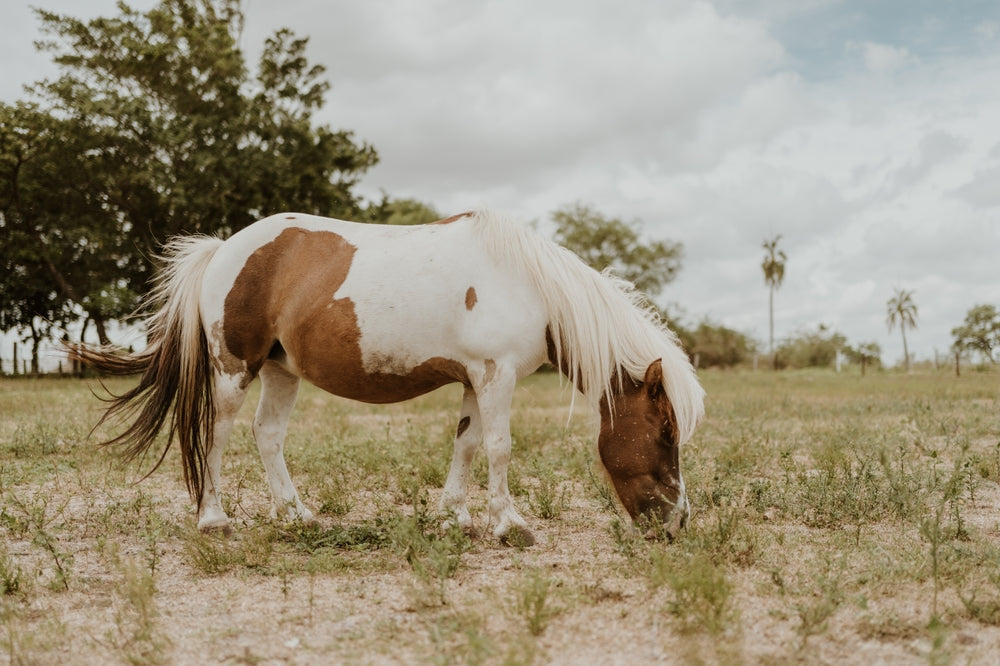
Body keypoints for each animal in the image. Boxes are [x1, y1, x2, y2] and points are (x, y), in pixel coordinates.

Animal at [70, 209, 705, 545]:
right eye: (667, 432)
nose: (676, 523)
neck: (528, 282)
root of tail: (224, 248)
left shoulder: (475, 381)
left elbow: (467, 445)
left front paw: (455, 516)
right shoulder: (496, 377)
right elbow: (499, 447)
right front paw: (509, 525)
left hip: (280, 370)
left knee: (267, 436)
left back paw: (296, 514)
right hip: (234, 369)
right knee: (218, 436)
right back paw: (213, 518)